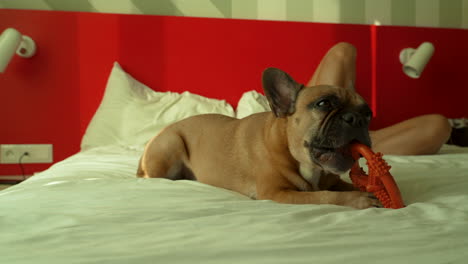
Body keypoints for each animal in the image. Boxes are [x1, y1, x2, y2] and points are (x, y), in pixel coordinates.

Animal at [138, 69, 380, 209]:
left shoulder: (334, 181)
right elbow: (324, 197)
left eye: (368, 113)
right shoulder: (278, 193)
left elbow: (345, 187)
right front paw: (358, 199)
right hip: (170, 145)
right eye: (324, 103)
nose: (357, 118)